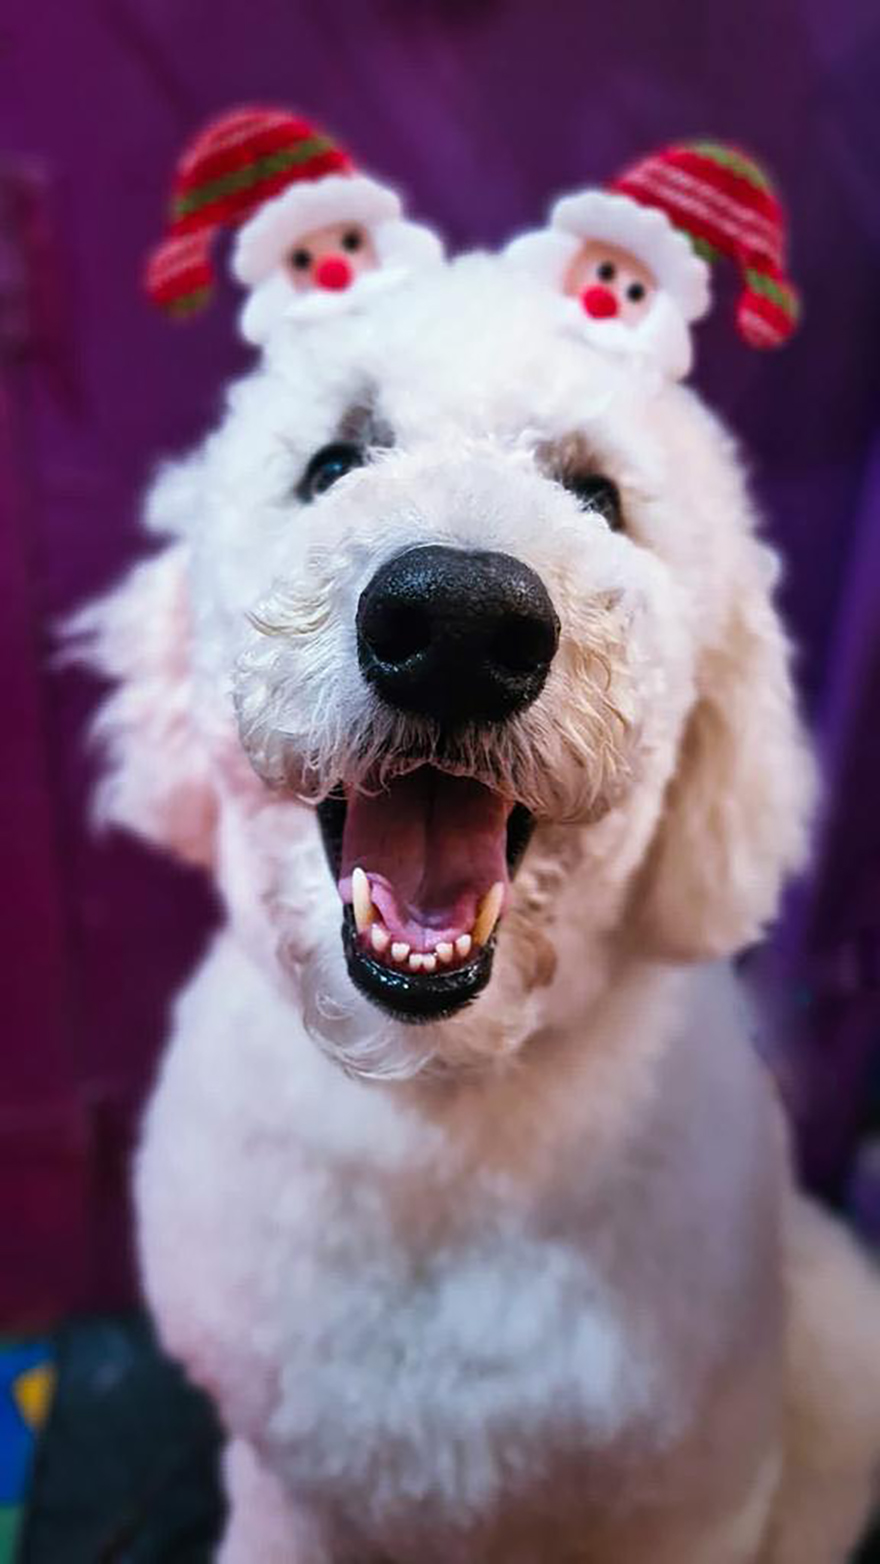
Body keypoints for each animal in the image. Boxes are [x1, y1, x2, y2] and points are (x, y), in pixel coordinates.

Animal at [73, 250, 880, 1557]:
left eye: (599, 493)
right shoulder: (293, 1485)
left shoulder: (690, 1495)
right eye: (333, 462)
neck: (439, 1101)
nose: (454, 619)